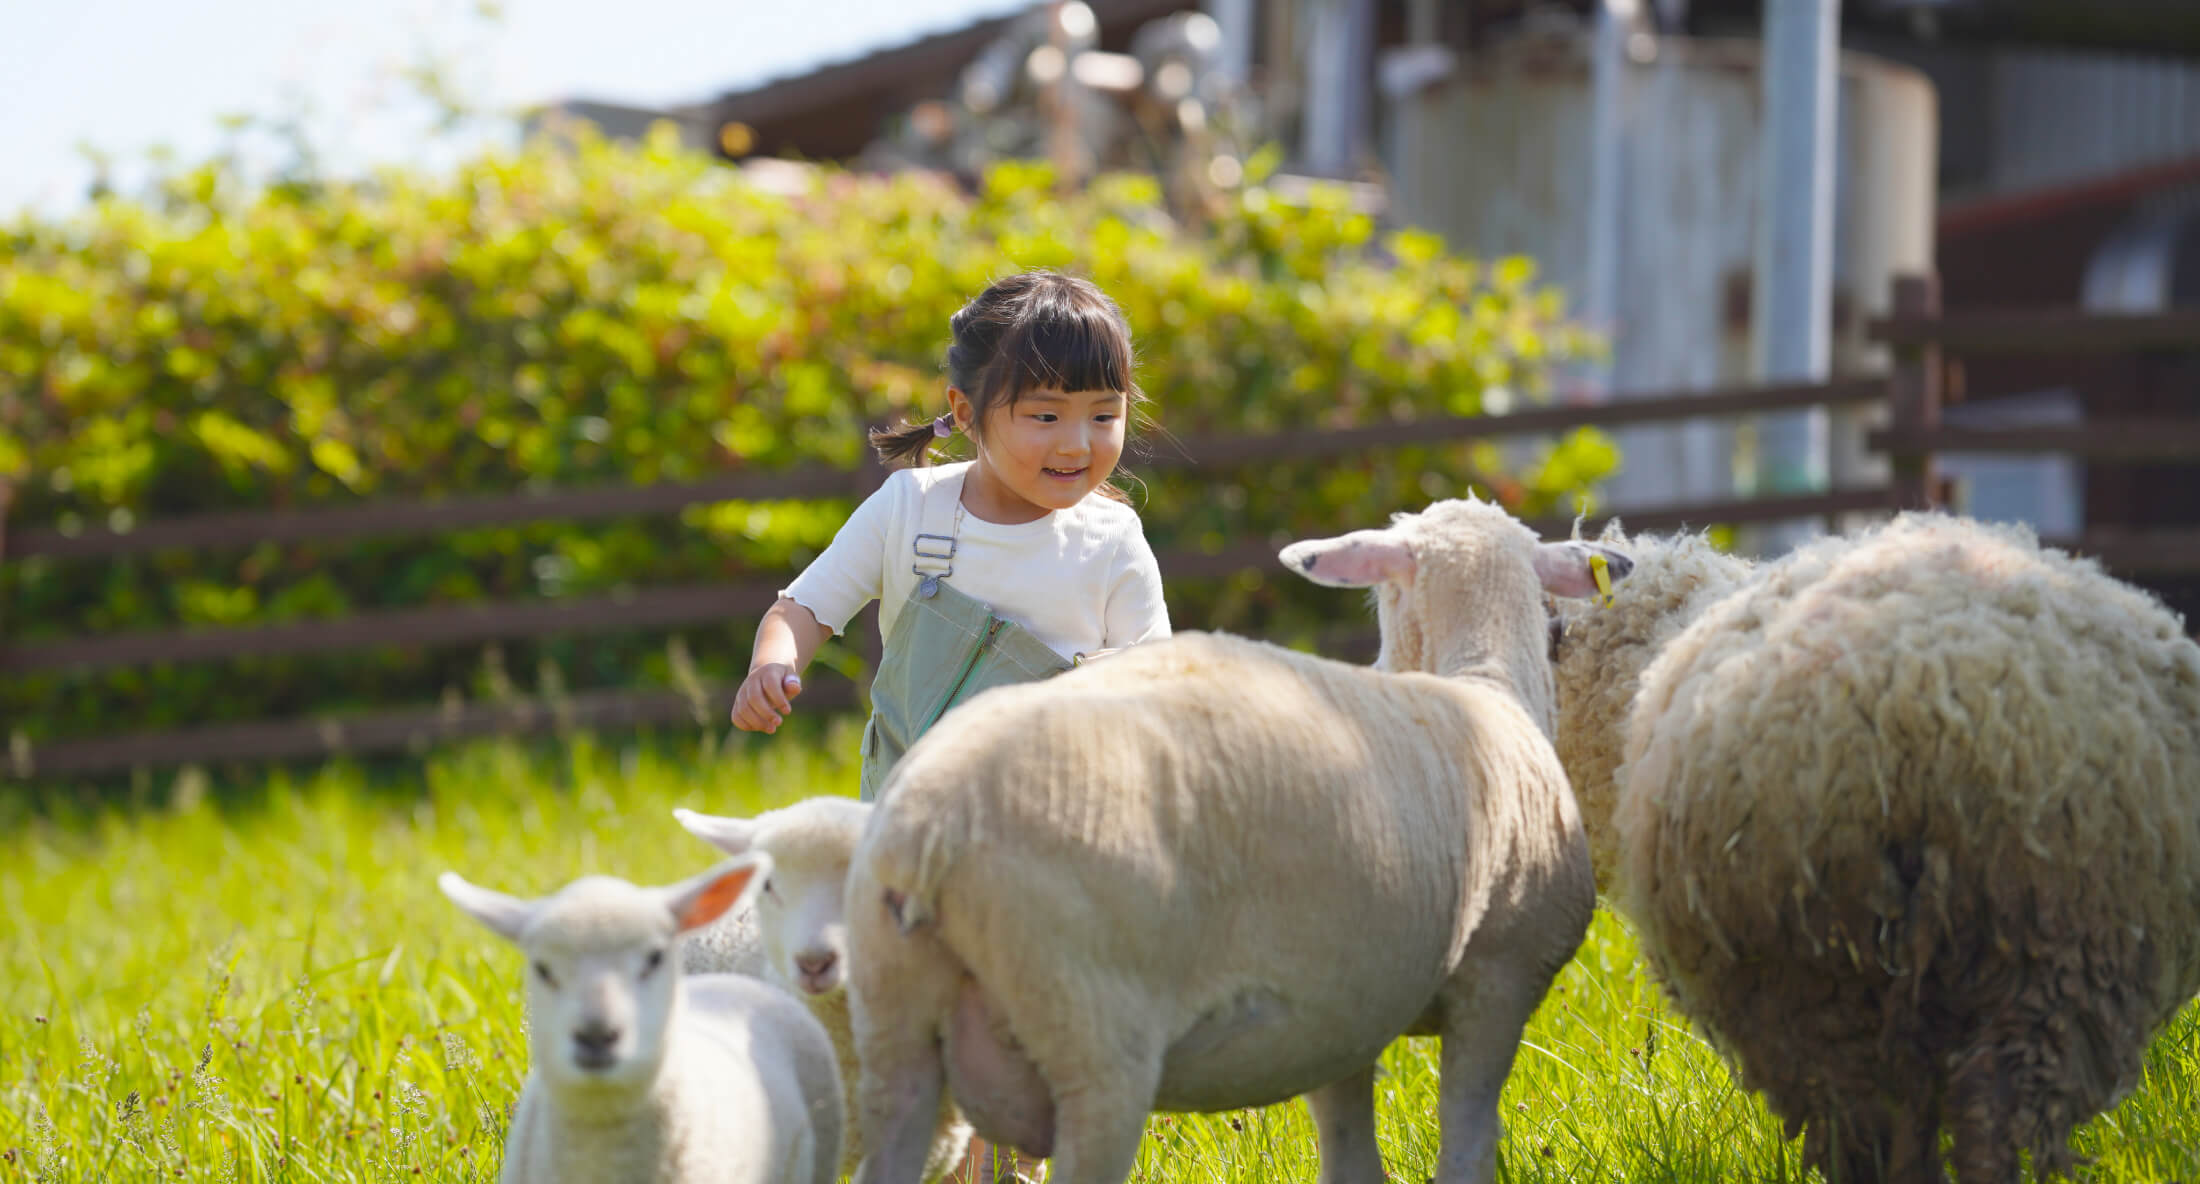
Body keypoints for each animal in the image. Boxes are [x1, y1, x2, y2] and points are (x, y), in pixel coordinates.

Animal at [836, 492, 1619, 1179]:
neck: (1483, 682)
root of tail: (931, 830)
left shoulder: (1340, 1019)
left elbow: (1353, 1165)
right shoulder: (1499, 982)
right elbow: (1466, 1158)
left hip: (895, 1037)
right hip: (1092, 1038)